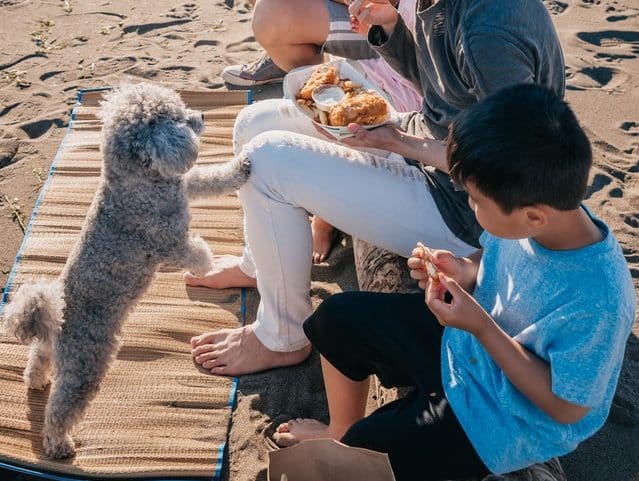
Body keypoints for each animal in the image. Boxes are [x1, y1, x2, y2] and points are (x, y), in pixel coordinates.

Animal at [0, 82, 248, 458]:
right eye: (178, 118)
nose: (202, 115)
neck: (136, 181)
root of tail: (54, 314)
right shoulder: (166, 241)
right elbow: (193, 251)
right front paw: (209, 264)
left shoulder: (181, 186)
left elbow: (209, 178)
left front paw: (242, 168)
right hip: (86, 364)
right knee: (60, 409)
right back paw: (60, 445)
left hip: (52, 350)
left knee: (37, 360)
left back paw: (35, 380)